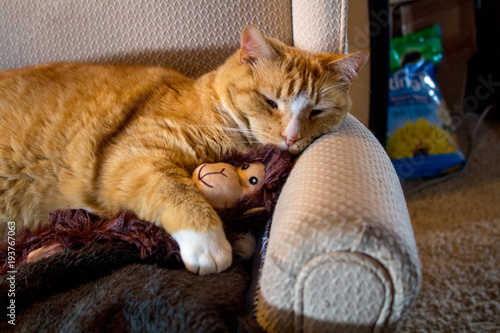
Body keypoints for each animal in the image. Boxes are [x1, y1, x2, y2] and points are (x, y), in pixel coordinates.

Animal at [0, 26, 368, 274]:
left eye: (316, 111)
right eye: (269, 102)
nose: (291, 138)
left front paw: (240, 239)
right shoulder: (132, 158)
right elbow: (178, 192)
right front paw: (210, 244)